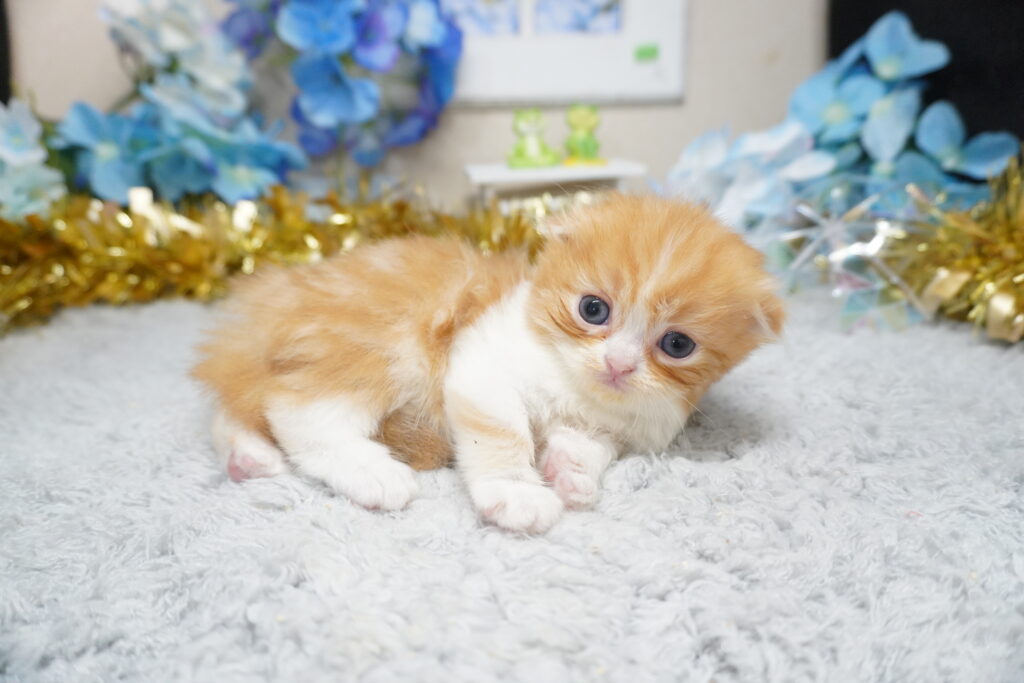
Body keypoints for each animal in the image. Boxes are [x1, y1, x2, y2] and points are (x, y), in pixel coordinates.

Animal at [192, 194, 783, 533]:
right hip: (378, 346)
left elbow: (593, 445)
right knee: (297, 412)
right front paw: (517, 491)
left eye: (678, 345)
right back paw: (371, 473)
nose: (618, 364)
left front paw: (571, 471)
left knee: (235, 404)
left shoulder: (624, 424)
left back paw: (248, 458)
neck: (576, 383)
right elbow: (502, 434)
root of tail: (271, 300)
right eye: (593, 309)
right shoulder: (481, 363)